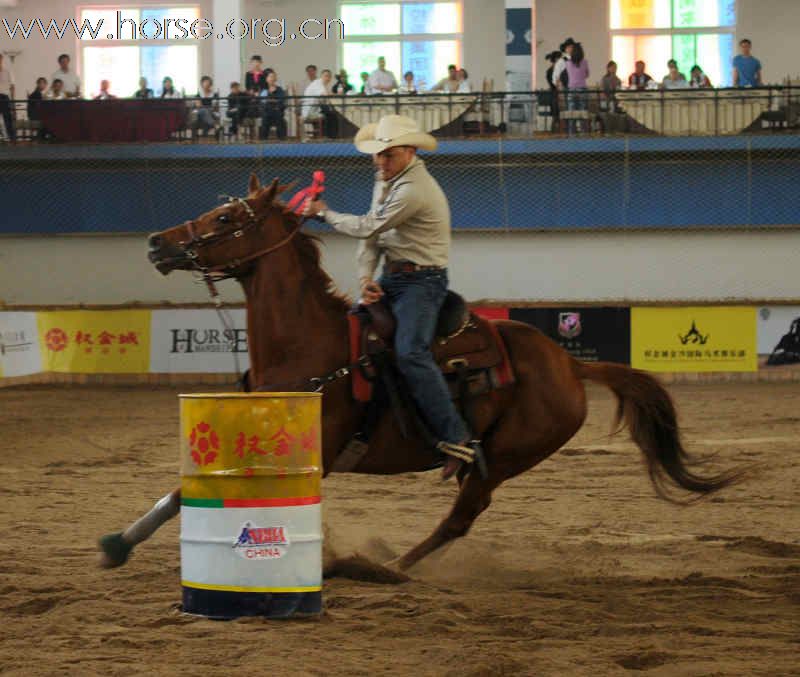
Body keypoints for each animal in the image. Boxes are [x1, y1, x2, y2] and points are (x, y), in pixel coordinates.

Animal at [100, 173, 744, 572]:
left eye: (228, 215)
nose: (156, 242)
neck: (311, 348)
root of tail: (569, 362)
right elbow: (184, 489)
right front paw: (118, 544)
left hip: (504, 459)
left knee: (460, 519)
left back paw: (385, 567)